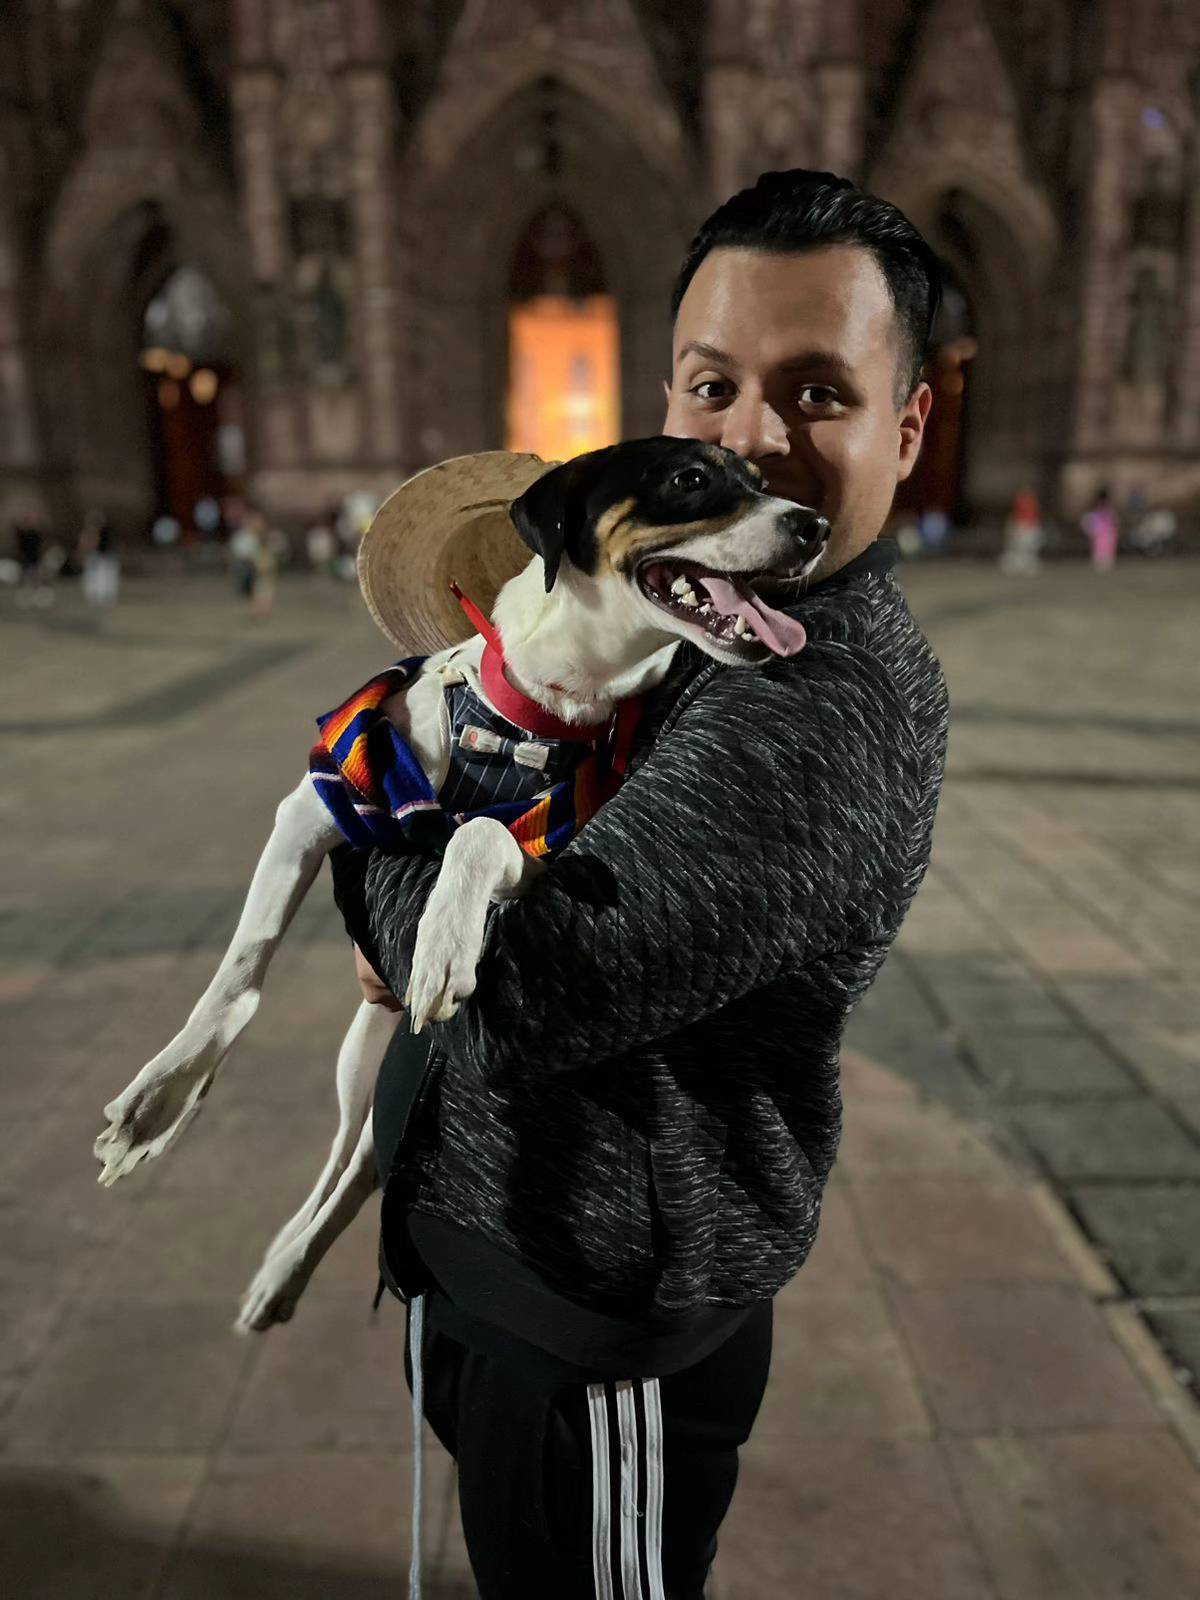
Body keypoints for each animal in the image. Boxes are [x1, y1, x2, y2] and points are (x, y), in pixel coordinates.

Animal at [94, 432, 832, 1331]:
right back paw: (270, 1254)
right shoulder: (319, 801)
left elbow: (475, 835)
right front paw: (159, 1102)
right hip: (357, 1061)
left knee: (358, 1173)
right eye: (690, 478)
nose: (815, 526)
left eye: (763, 481)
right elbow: (238, 978)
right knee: (343, 1160)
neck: (543, 707)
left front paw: (445, 940)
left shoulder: (549, 846)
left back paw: (285, 1274)